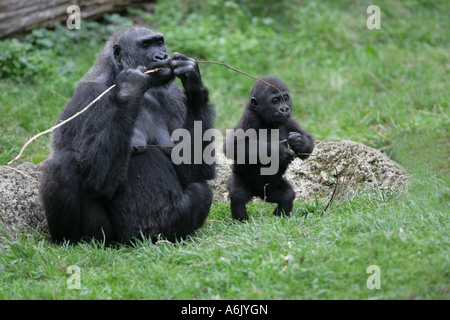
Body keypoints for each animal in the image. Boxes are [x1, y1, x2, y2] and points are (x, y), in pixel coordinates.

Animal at [39, 27, 215, 244]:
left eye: (159, 43)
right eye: (146, 46)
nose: (161, 56)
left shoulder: (172, 95)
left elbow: (192, 170)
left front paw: (193, 82)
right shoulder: (86, 96)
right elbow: (96, 178)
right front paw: (129, 90)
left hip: (161, 233)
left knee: (201, 189)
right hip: (110, 240)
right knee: (62, 164)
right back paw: (69, 240)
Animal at [224, 76, 312, 221]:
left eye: (285, 98)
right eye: (275, 101)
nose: (284, 109)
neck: (267, 120)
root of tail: (258, 193)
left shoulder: (289, 121)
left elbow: (307, 146)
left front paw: (298, 142)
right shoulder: (249, 120)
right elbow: (232, 146)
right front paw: (277, 151)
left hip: (270, 190)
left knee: (287, 196)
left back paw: (280, 217)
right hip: (242, 180)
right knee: (238, 194)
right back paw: (241, 221)